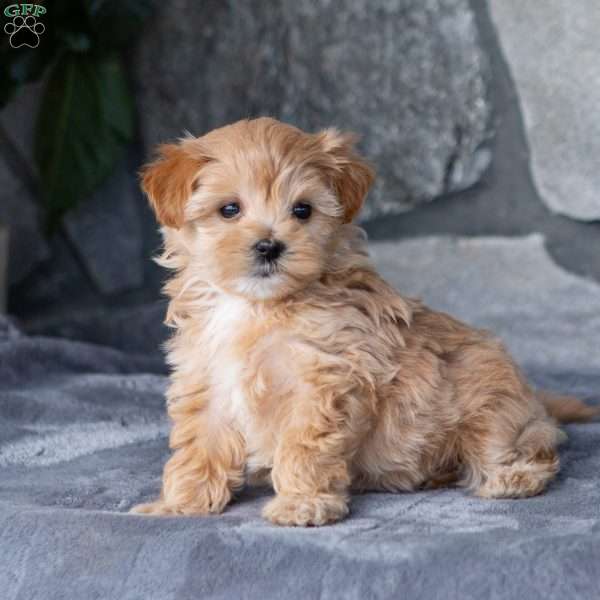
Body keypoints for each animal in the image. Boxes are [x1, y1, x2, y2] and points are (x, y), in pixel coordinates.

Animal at [132, 116, 600, 524]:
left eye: (302, 211)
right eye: (229, 209)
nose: (269, 246)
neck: (258, 307)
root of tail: (534, 399)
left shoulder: (323, 381)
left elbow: (304, 447)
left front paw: (303, 504)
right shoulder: (208, 380)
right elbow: (199, 446)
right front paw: (181, 503)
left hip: (490, 404)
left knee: (524, 448)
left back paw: (511, 478)